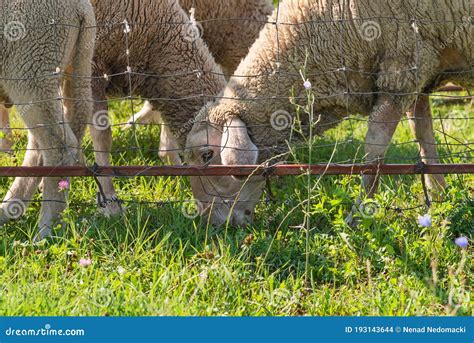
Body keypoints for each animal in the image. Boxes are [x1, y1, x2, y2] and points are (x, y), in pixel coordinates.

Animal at [0, 0, 96, 242]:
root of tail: (80, 8)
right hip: (77, 61)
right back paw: (11, 209)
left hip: (31, 68)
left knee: (59, 147)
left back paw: (46, 231)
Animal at [185, 0, 474, 228]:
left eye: (207, 155)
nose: (208, 221)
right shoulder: (418, 70)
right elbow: (424, 136)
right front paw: (439, 198)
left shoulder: (400, 69)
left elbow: (373, 153)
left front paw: (359, 216)